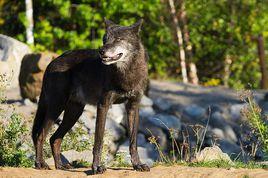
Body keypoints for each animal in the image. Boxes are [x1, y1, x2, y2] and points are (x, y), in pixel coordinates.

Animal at [31, 19, 151, 174]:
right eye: (105, 39)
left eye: (118, 39)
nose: (101, 51)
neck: (127, 73)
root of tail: (52, 62)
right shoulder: (103, 106)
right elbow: (98, 141)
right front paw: (96, 167)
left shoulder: (133, 107)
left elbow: (133, 141)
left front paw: (137, 165)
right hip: (57, 108)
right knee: (40, 135)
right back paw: (40, 163)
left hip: (73, 113)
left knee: (54, 138)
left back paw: (60, 166)